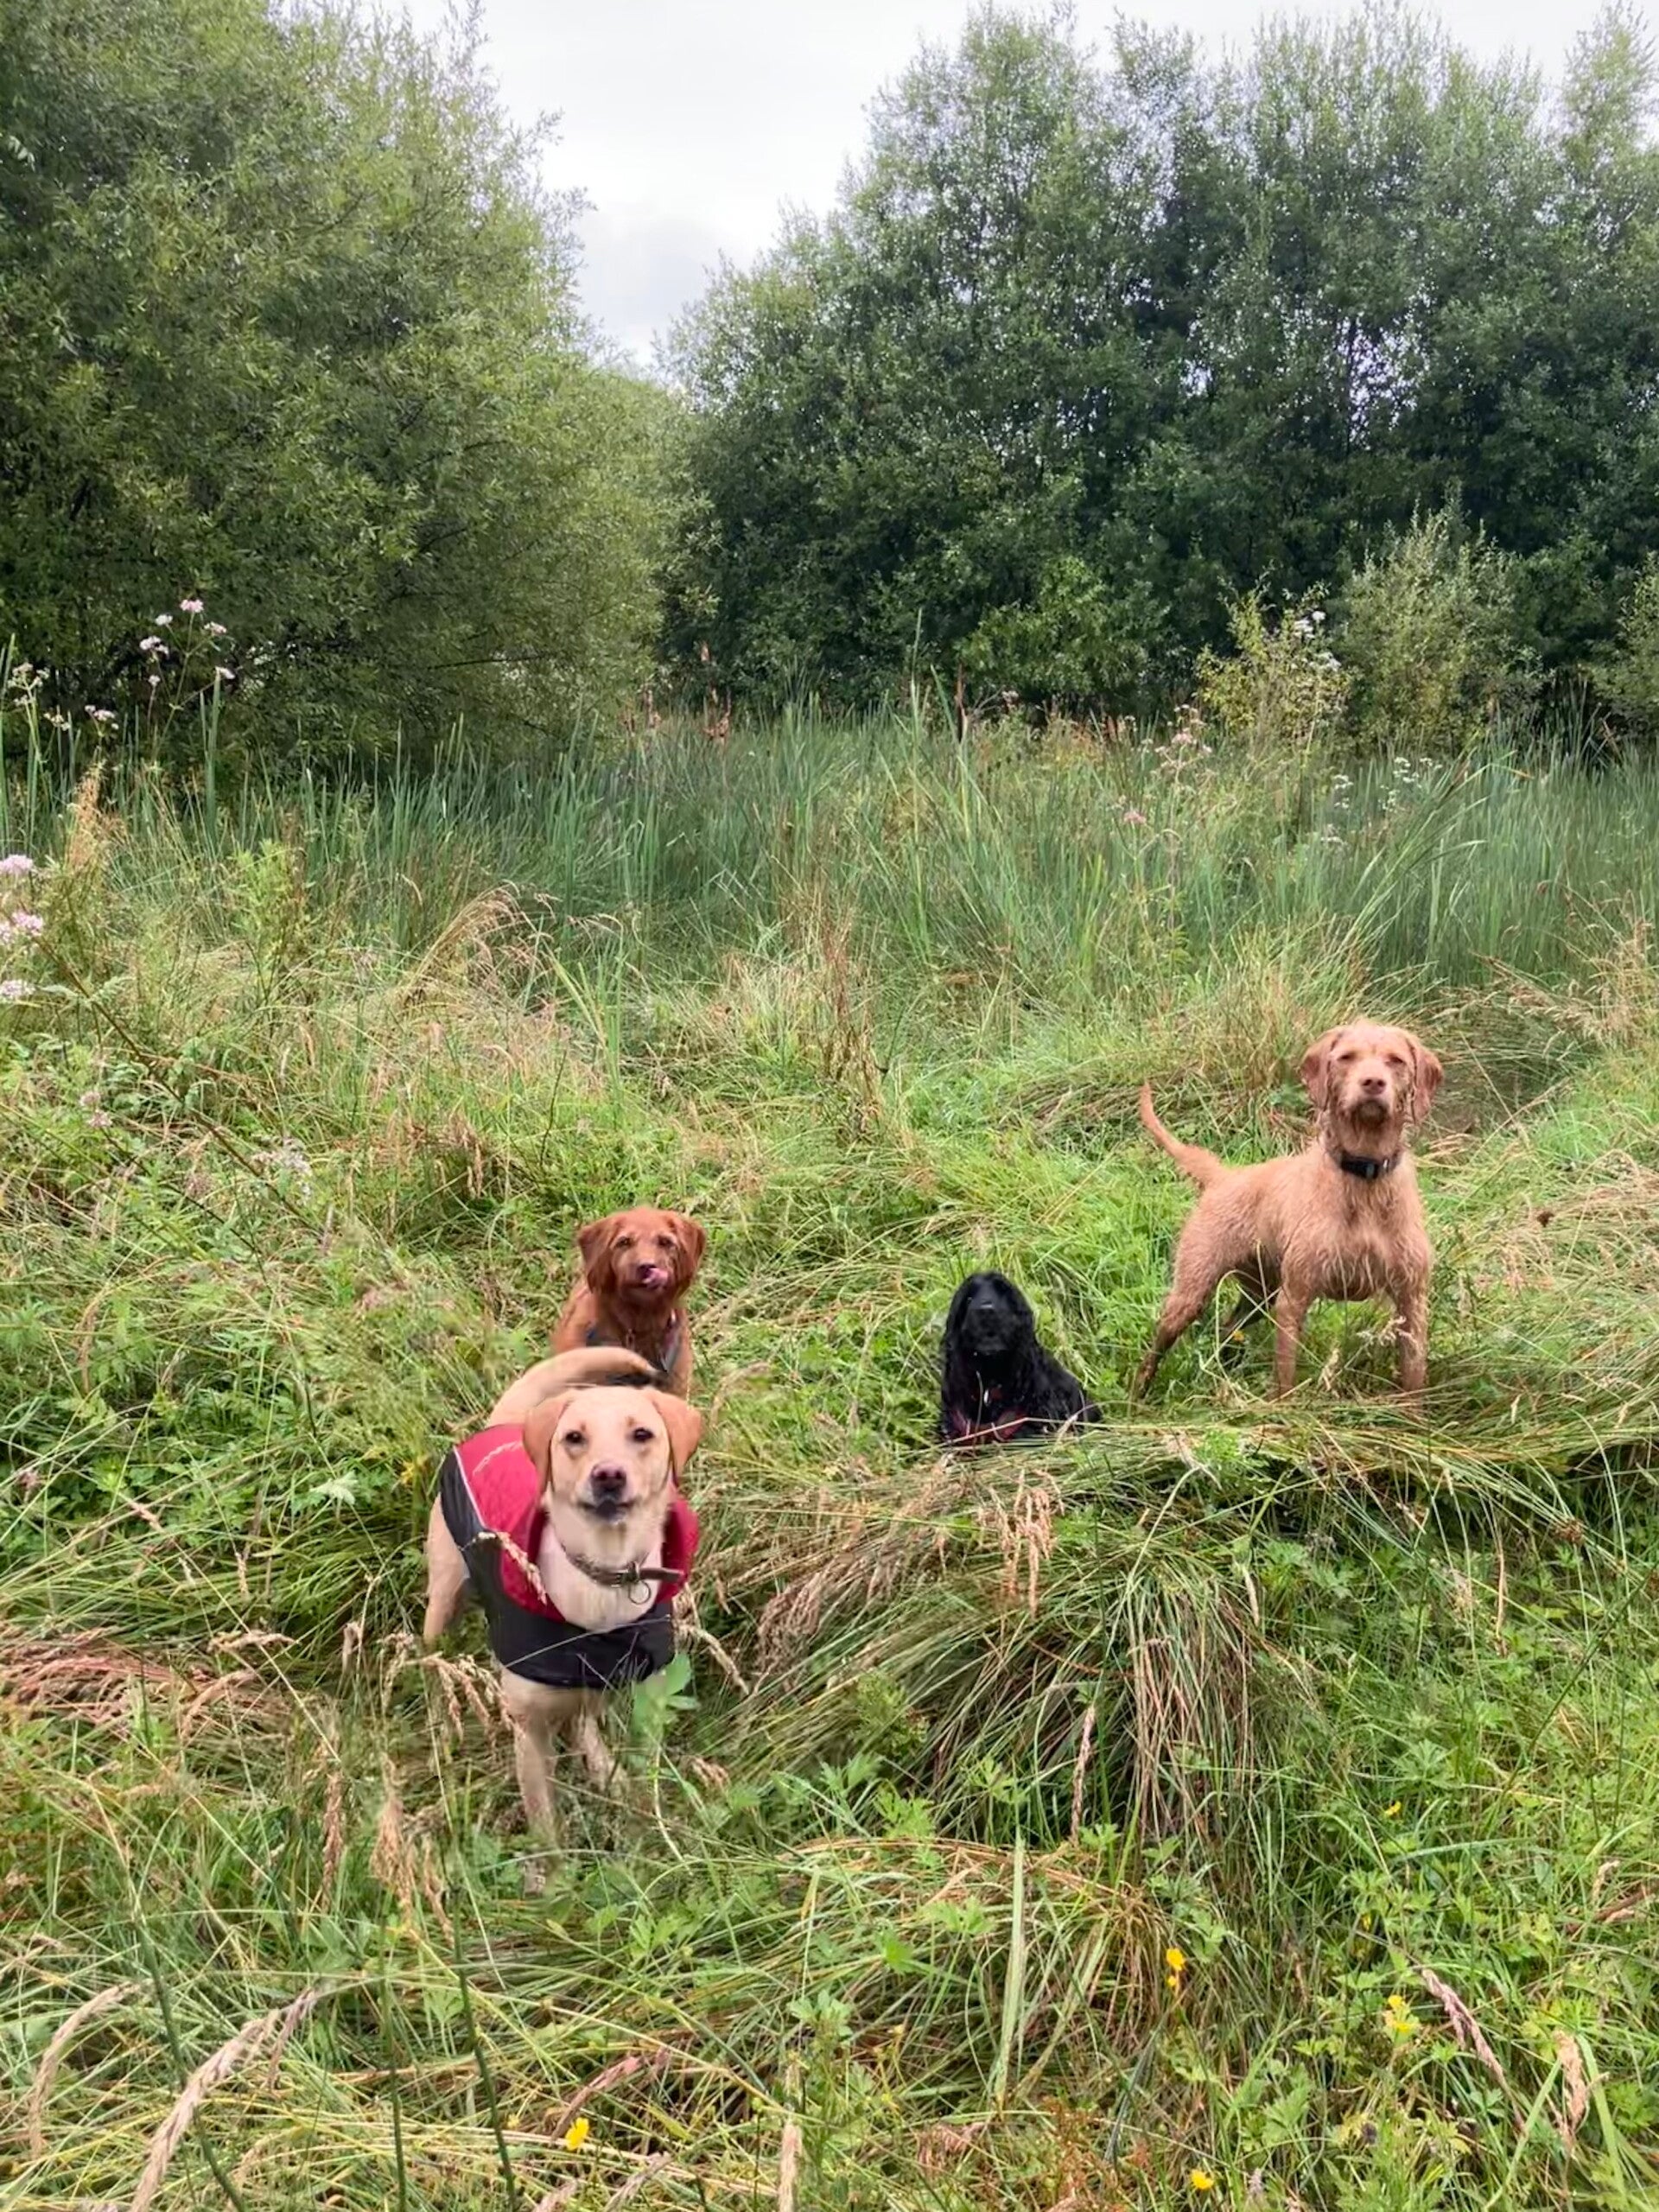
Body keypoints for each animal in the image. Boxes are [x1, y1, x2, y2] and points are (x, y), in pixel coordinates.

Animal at [423, 1346, 703, 1842]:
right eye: (574, 1438)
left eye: (642, 1434)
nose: (608, 1476)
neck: (601, 1576)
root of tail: (505, 1425)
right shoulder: (529, 1732)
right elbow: (546, 1826)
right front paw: (556, 1864)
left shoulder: (647, 1705)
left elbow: (645, 1778)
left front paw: (645, 1831)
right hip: (443, 1598)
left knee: (584, 1723)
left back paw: (605, 1770)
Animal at [1134, 1021, 1443, 1400]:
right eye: (1347, 1057)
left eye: (1396, 1060)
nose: (1372, 1082)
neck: (1364, 1178)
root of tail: (1223, 1176)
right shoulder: (1294, 1299)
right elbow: (1285, 1380)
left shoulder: (1412, 1303)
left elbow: (1414, 1382)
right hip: (1189, 1296)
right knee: (1154, 1353)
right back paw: (1137, 1397)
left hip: (1258, 1295)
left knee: (1227, 1329)